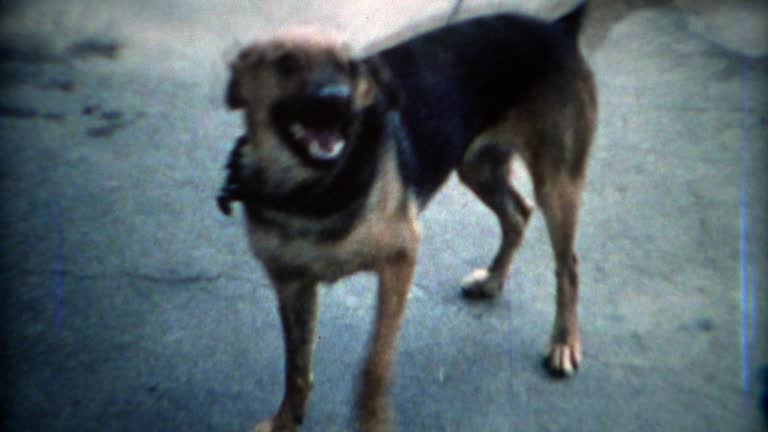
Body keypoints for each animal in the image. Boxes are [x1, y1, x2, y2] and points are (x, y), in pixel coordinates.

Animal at [219, 2, 596, 428]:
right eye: (285, 62)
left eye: (350, 65)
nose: (338, 101)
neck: (313, 190)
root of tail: (559, 28)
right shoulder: (290, 283)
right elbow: (296, 367)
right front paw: (285, 421)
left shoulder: (400, 257)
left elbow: (375, 363)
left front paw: (373, 420)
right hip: (477, 167)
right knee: (517, 213)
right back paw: (493, 279)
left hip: (557, 184)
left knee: (568, 264)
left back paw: (564, 341)